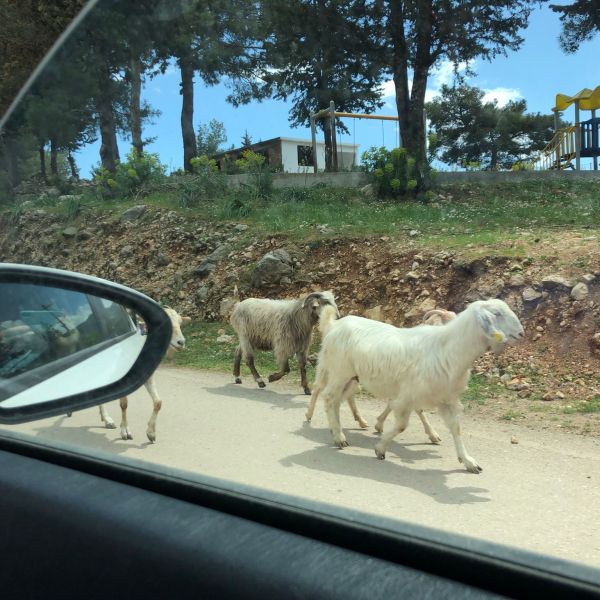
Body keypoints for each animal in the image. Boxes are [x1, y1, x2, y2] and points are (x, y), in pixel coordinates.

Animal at [308, 310, 458, 440]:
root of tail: (333, 325)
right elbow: (418, 409)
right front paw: (433, 434)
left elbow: (392, 405)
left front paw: (379, 424)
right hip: (331, 369)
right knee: (319, 389)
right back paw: (312, 417)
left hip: (352, 378)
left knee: (343, 397)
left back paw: (354, 423)